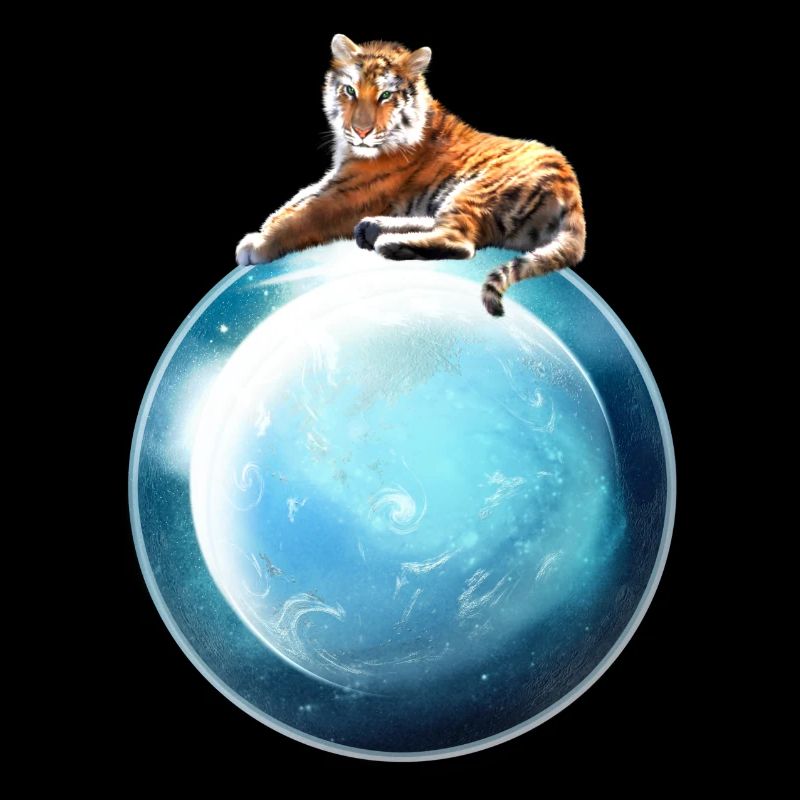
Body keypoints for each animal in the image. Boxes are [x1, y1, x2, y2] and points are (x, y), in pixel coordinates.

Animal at [236, 34, 586, 316]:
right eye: (349, 90)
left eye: (385, 96)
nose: (361, 131)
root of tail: (572, 191)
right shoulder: (337, 179)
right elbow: (295, 203)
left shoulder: (351, 191)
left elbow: (301, 215)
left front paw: (258, 244)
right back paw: (374, 228)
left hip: (475, 190)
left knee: (461, 242)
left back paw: (389, 242)